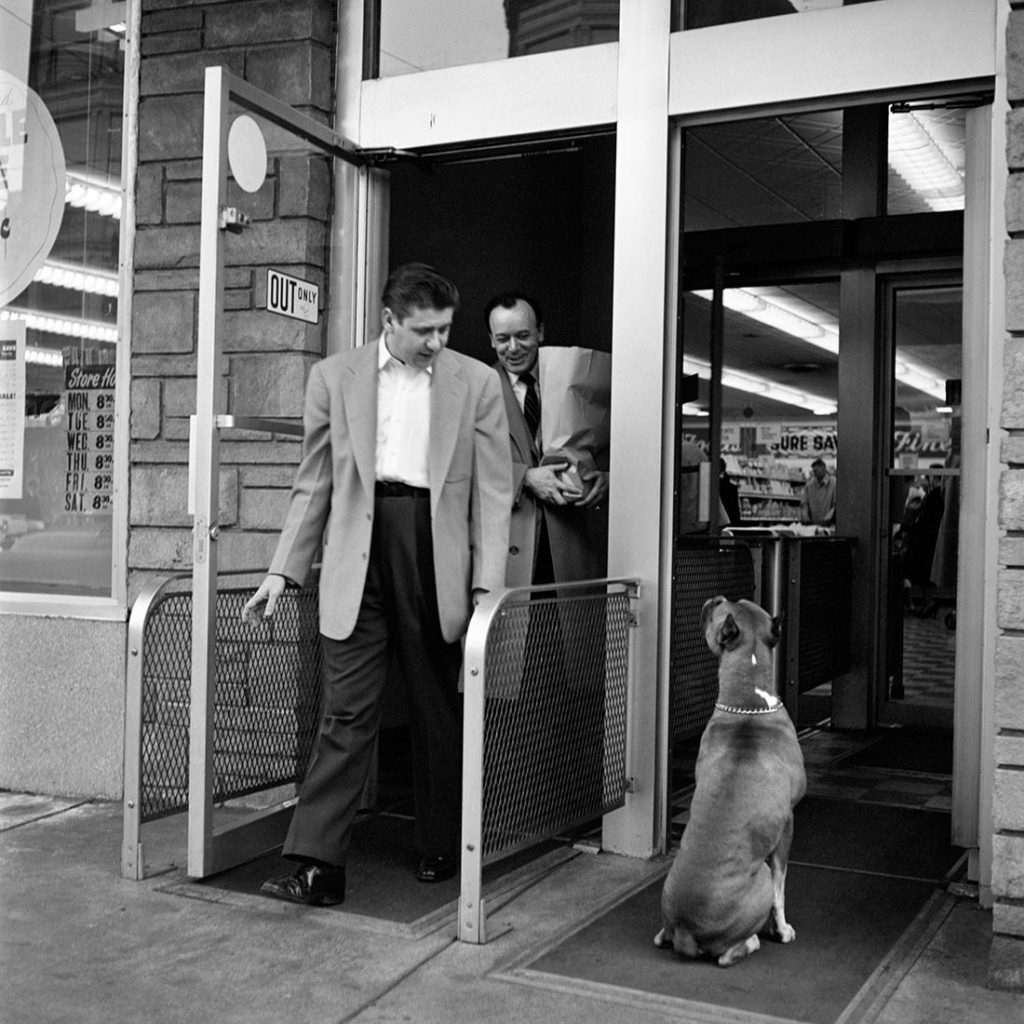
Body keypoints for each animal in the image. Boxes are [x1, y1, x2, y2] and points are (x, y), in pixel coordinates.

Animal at [655, 598, 806, 962]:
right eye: (720, 610)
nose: (714, 598)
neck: (749, 703)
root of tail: (685, 930)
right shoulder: (787, 827)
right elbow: (780, 890)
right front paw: (781, 930)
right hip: (760, 874)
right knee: (727, 954)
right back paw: (751, 941)